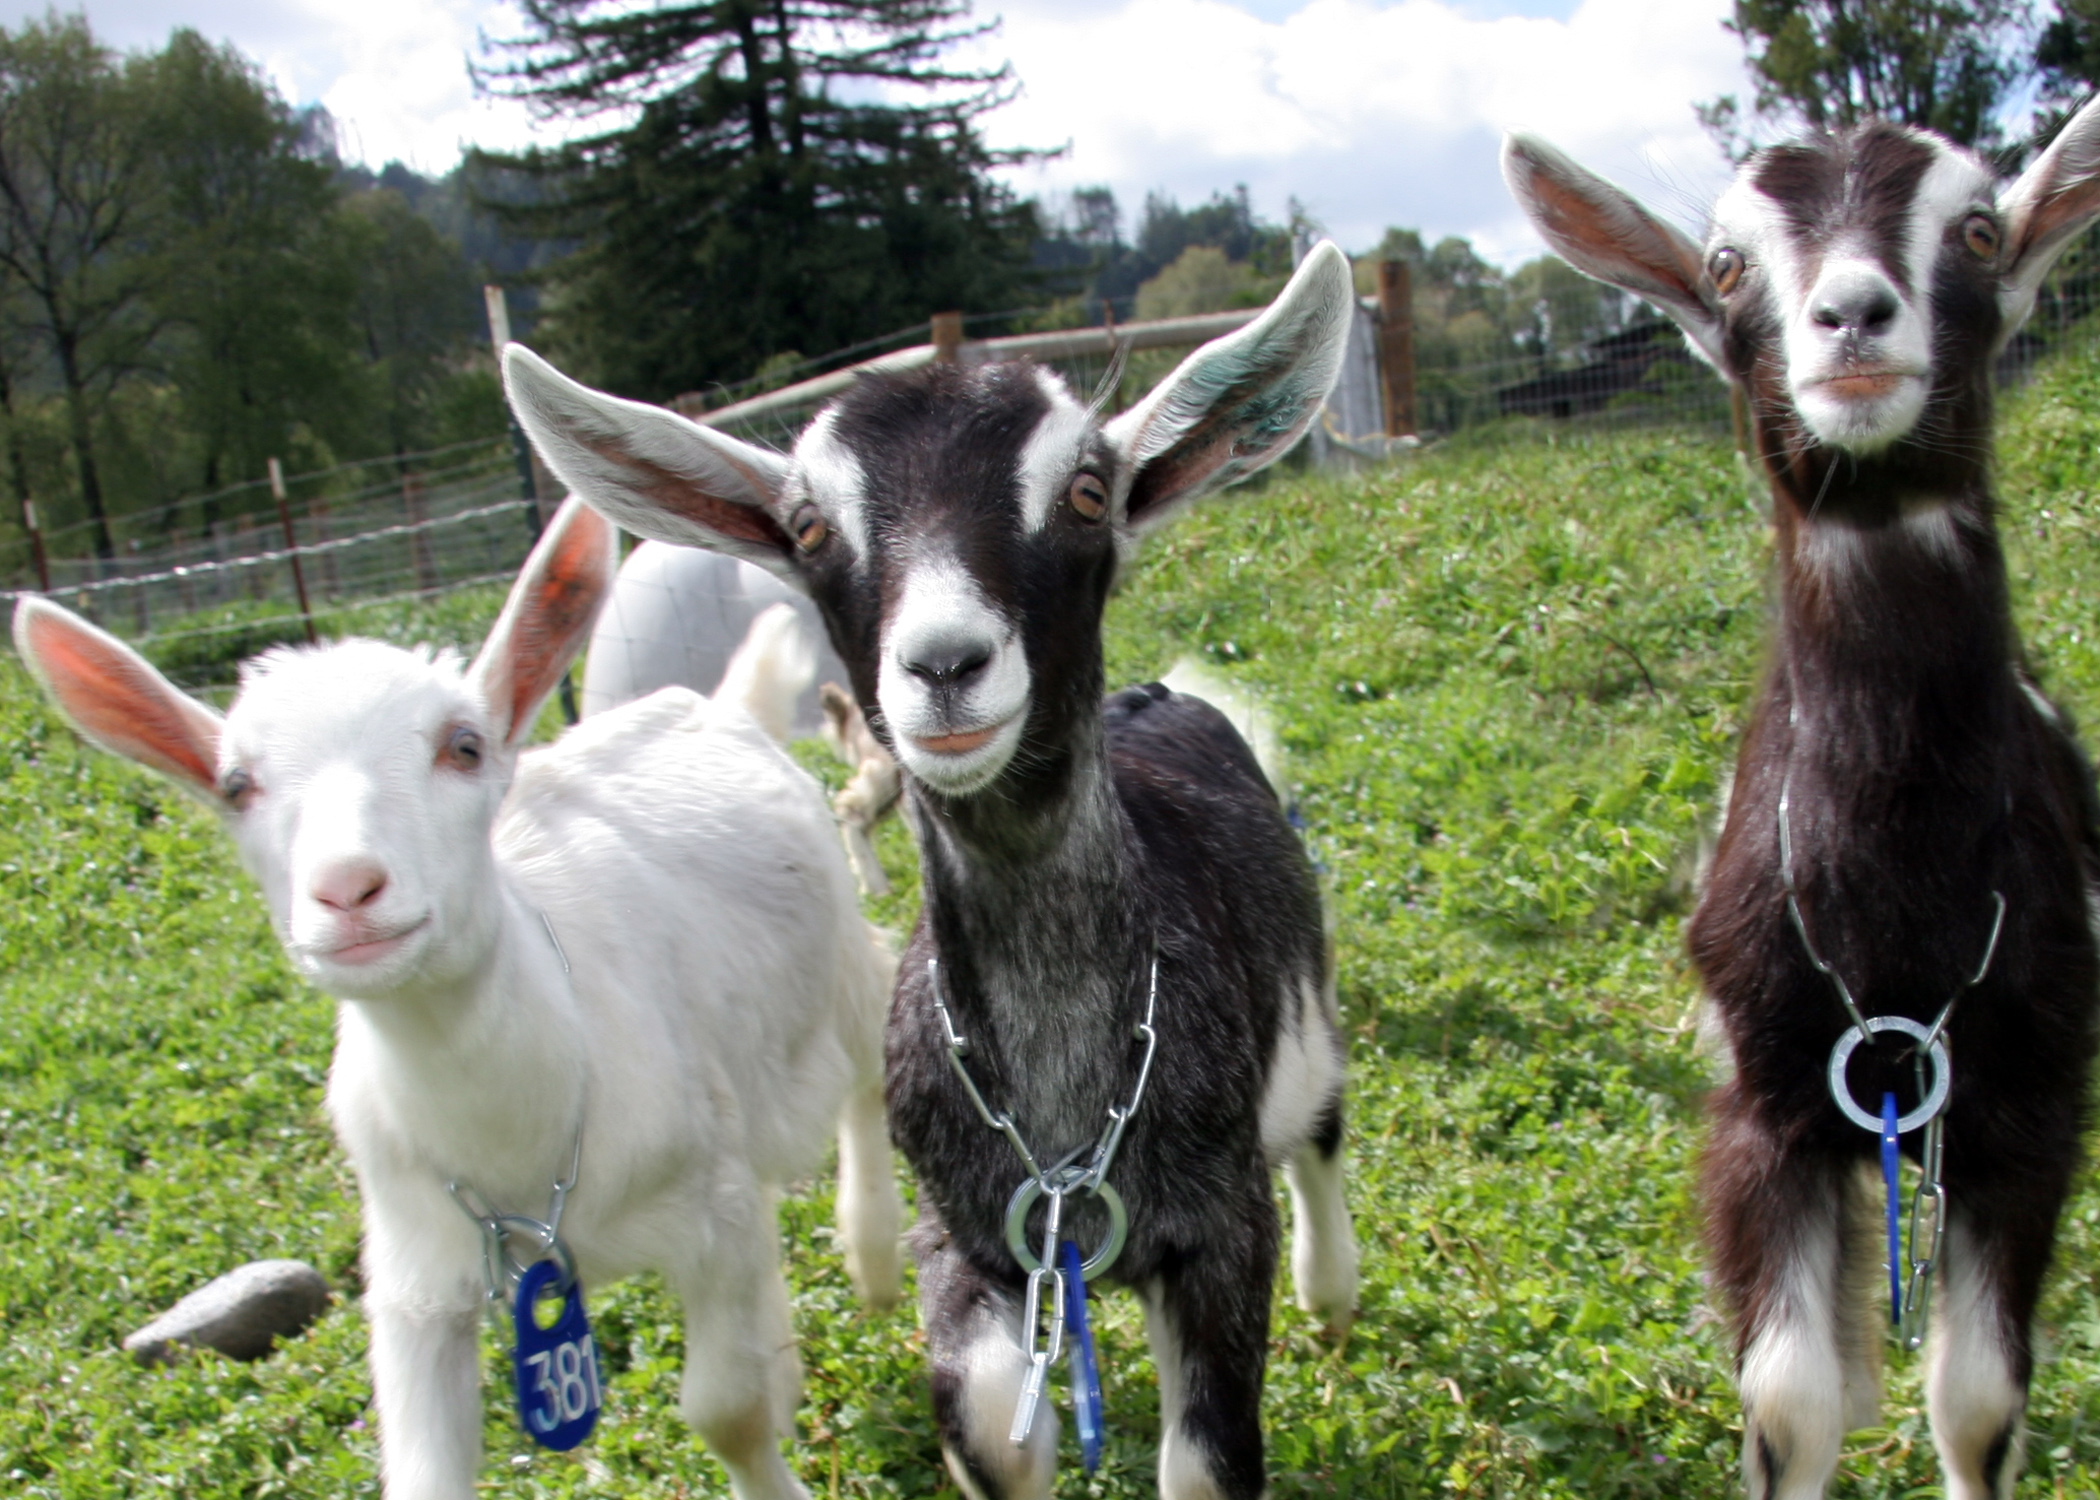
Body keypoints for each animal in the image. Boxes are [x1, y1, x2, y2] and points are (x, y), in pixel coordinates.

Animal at [16, 495, 902, 1487]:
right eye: (235, 785)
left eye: (464, 747)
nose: (347, 890)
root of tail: (716, 705)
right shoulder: (413, 1280)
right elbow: (424, 1469)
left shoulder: (704, 1204)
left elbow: (724, 1410)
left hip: (840, 973)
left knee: (869, 1063)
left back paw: (872, 1253)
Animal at [503, 247, 1360, 1495]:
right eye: (809, 527)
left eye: (1088, 492)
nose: (944, 665)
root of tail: (1160, 696)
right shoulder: (971, 1235)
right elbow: (991, 1424)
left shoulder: (1217, 1220)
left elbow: (1208, 1459)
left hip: (1308, 992)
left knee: (1324, 1124)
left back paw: (1333, 1293)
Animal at [1503, 105, 2100, 1495]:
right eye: (1727, 265)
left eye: (1977, 227)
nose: (1853, 318)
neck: (1897, 905)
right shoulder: (1761, 1111)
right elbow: (1790, 1403)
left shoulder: (2028, 1114)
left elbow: (1979, 1401)